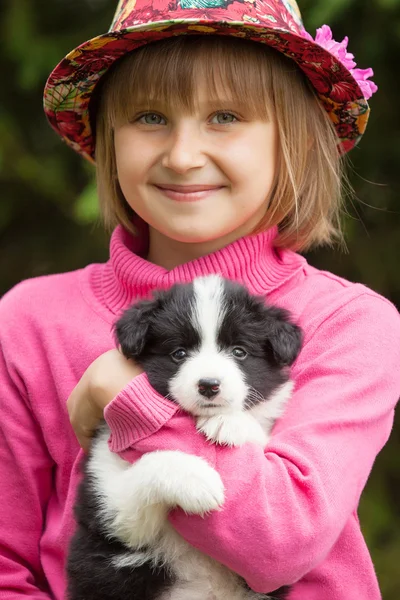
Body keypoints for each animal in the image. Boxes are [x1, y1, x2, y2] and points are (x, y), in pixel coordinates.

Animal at [67, 276, 302, 600]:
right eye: (179, 353)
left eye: (239, 351)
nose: (209, 385)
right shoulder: (111, 502)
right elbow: (149, 467)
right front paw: (198, 482)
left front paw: (230, 422)